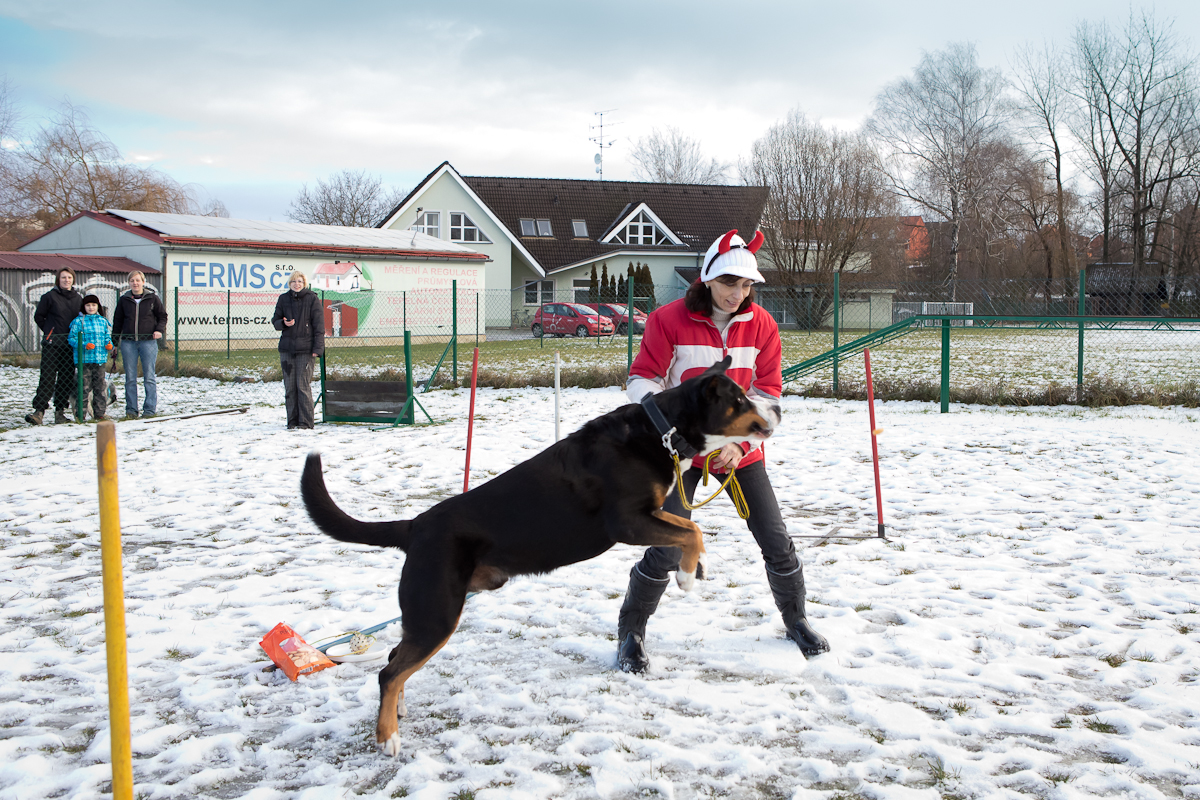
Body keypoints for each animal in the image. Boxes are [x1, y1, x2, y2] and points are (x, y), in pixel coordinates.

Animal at [302, 357, 777, 758]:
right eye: (740, 400)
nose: (776, 409)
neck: (660, 430)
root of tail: (416, 525)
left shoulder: (654, 513)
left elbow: (688, 529)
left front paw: (695, 566)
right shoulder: (626, 523)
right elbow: (691, 530)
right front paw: (686, 576)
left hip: (427, 615)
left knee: (393, 662)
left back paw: (397, 713)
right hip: (437, 614)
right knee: (389, 672)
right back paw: (388, 738)